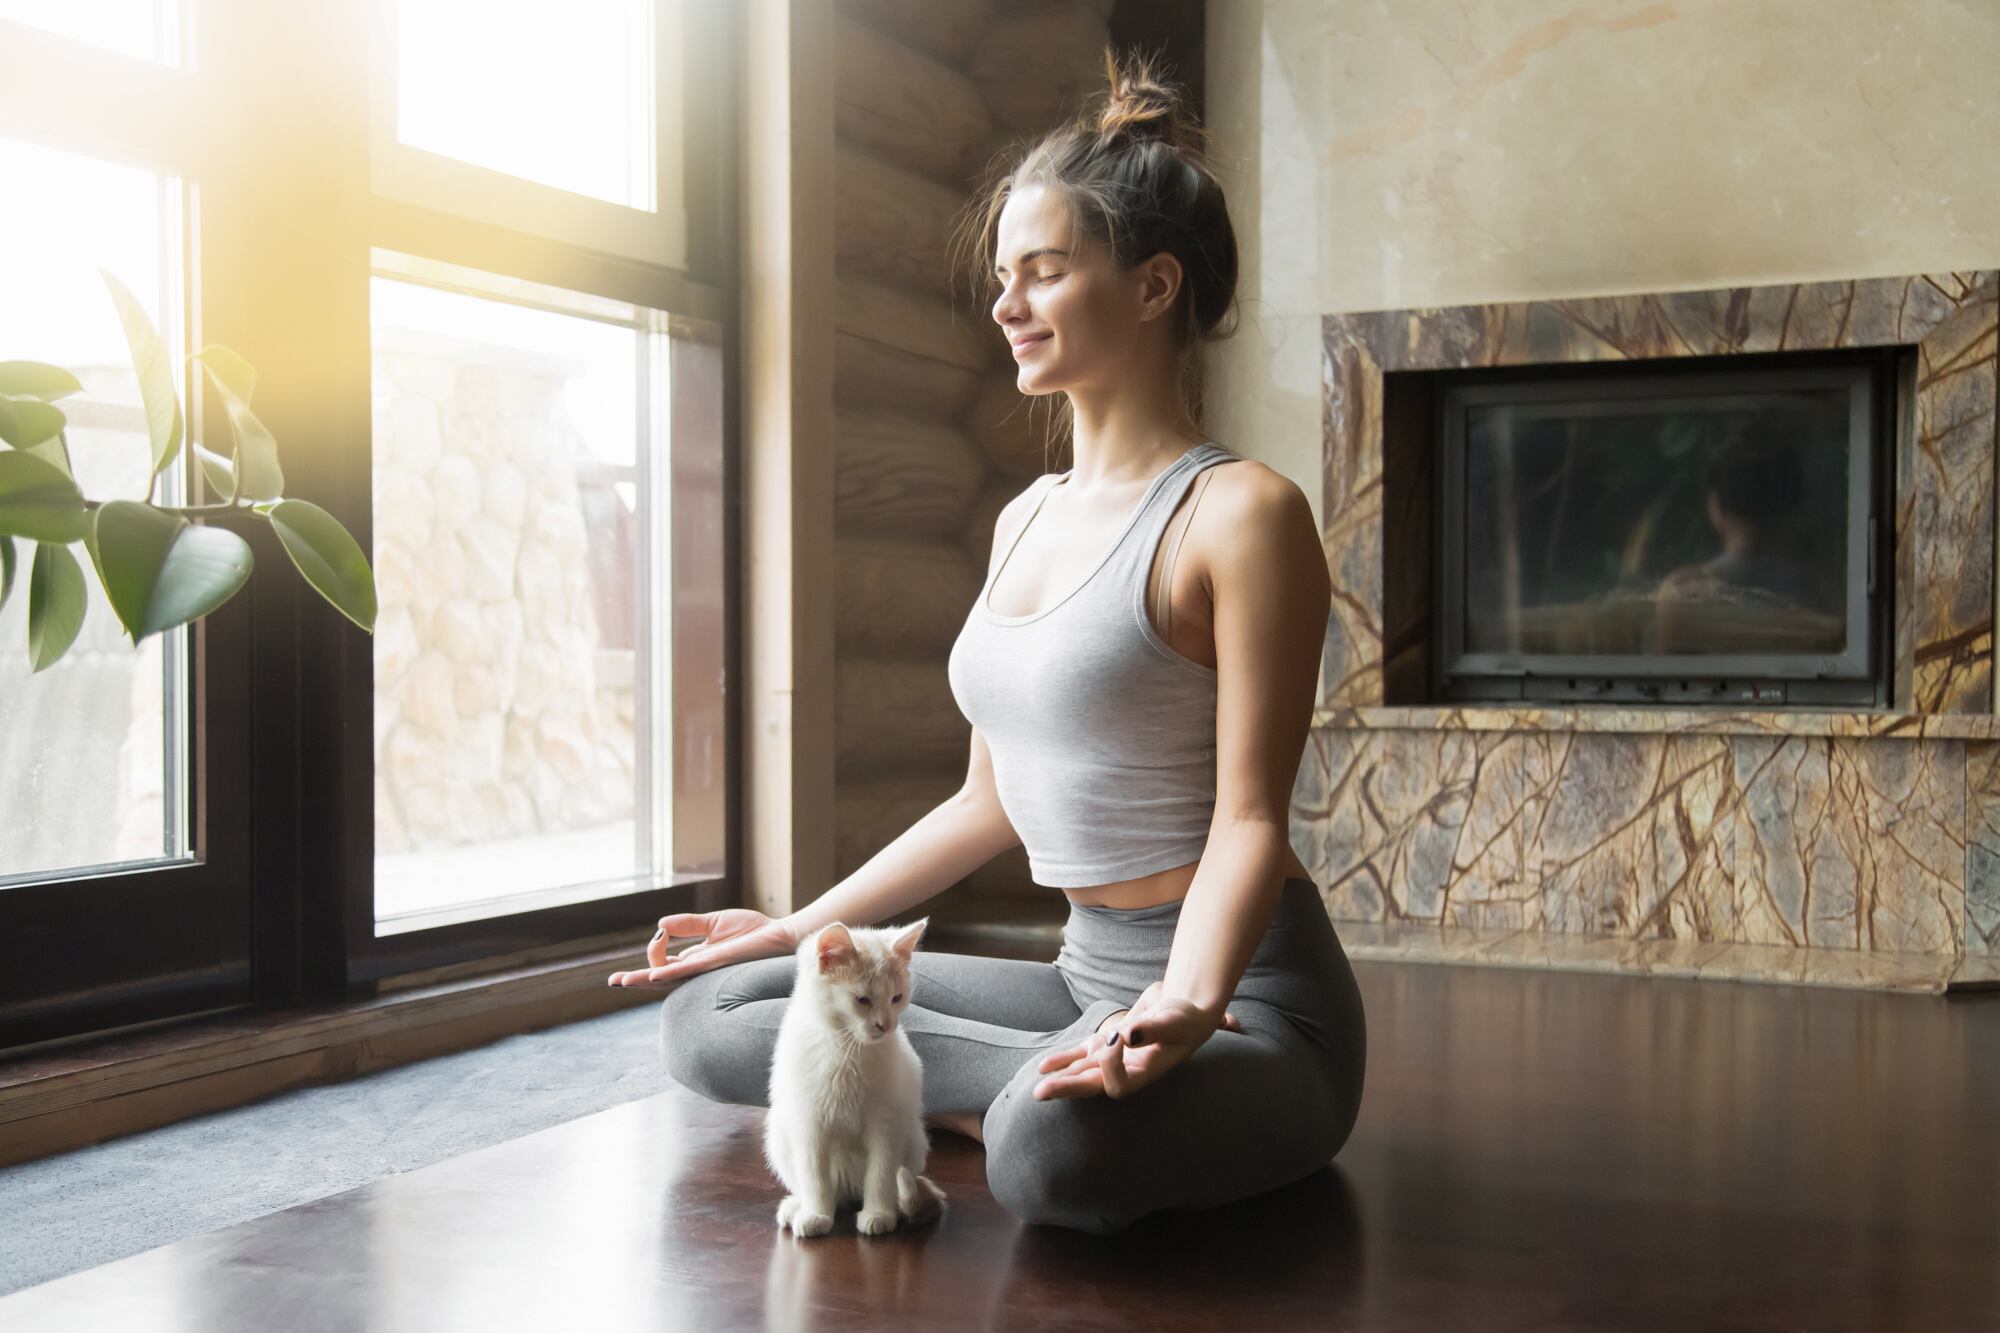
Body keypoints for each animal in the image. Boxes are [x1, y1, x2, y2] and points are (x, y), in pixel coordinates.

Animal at [764, 912, 952, 1232]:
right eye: (862, 1000)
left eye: (897, 998)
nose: (885, 1025)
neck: (847, 1047)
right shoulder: (808, 1122)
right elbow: (814, 1174)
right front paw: (816, 1213)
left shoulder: (887, 1121)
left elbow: (881, 1172)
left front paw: (879, 1214)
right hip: (779, 1132)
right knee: (827, 1188)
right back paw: (799, 1205)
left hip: (913, 1135)